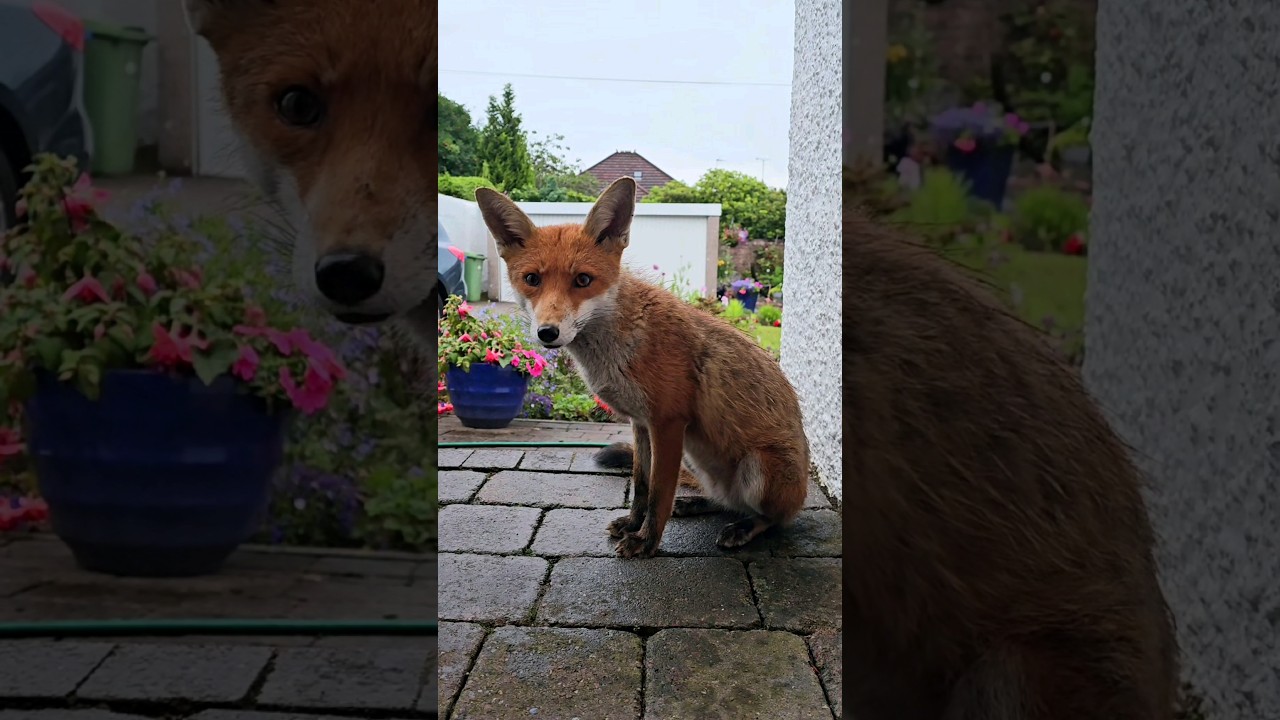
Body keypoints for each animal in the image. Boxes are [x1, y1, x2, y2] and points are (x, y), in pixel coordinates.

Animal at [475, 177, 810, 559]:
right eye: (532, 279)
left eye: (583, 280)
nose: (548, 332)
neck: (620, 345)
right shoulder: (640, 423)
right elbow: (641, 486)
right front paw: (632, 524)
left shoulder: (668, 422)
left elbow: (659, 494)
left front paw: (647, 541)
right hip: (697, 458)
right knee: (725, 500)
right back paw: (697, 504)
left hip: (758, 469)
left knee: (771, 517)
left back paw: (744, 527)